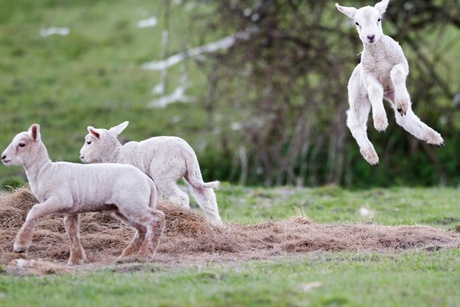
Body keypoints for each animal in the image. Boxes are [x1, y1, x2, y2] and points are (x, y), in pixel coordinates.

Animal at [0, 124, 166, 266]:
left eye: (22, 144)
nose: (3, 157)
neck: (44, 171)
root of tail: (147, 180)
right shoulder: (72, 210)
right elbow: (72, 231)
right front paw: (75, 259)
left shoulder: (61, 199)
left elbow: (34, 210)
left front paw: (20, 246)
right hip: (122, 208)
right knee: (142, 228)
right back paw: (126, 255)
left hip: (131, 202)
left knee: (157, 218)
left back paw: (145, 255)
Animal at [80, 121, 224, 227]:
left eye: (89, 142)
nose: (80, 155)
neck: (115, 155)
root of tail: (186, 152)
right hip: (193, 172)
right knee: (206, 197)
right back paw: (217, 224)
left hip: (164, 173)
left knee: (181, 197)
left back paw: (181, 214)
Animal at [336, 0, 444, 167]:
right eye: (357, 23)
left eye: (379, 19)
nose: (371, 36)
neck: (378, 56)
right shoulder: (369, 76)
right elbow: (375, 90)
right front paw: (380, 122)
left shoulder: (402, 63)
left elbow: (396, 72)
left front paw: (400, 104)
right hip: (357, 96)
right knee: (355, 122)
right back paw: (371, 156)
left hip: (393, 92)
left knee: (403, 117)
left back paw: (433, 136)